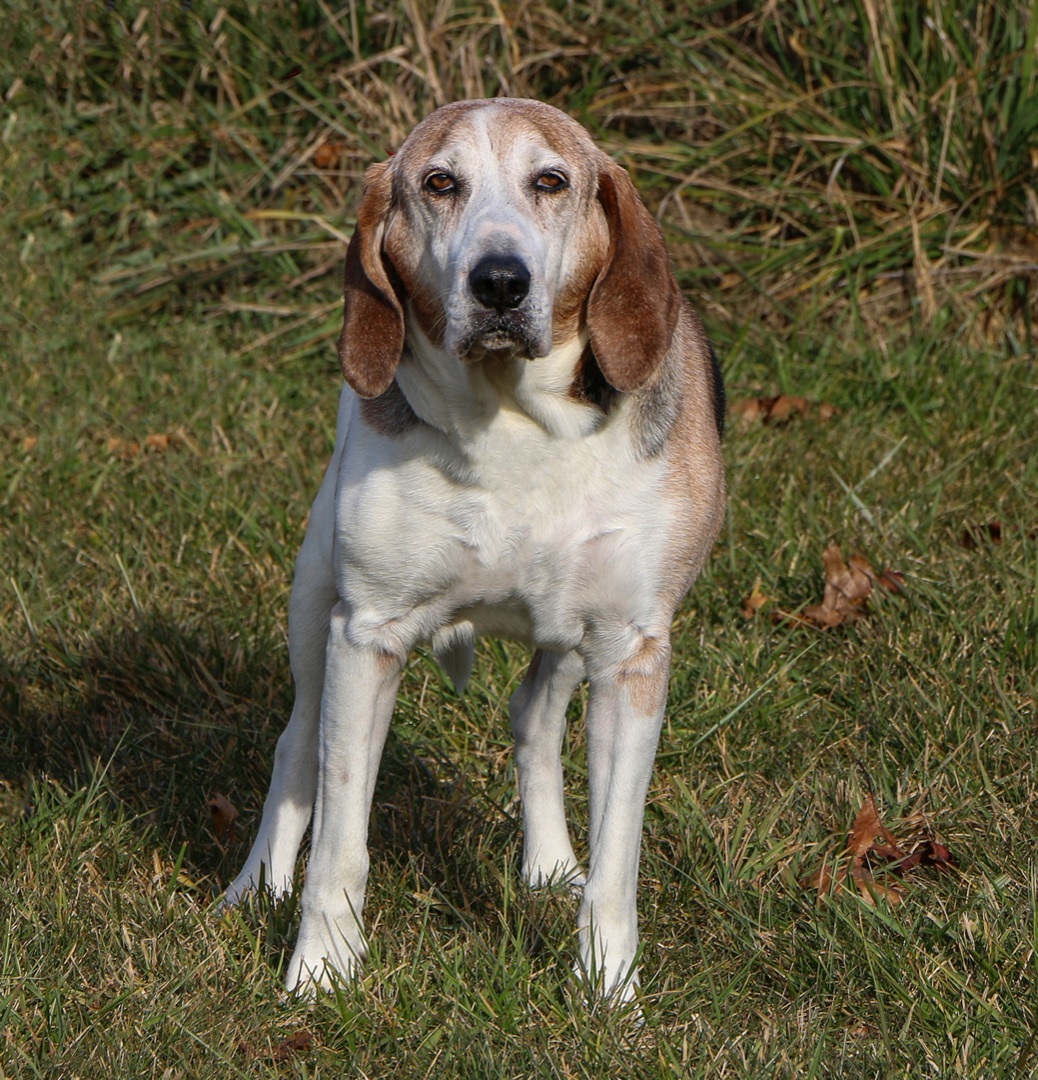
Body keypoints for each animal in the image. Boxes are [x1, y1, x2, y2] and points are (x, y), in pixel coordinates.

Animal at [224, 97, 730, 997]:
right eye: (439, 183)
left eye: (551, 181)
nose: (499, 281)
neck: (514, 424)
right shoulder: (367, 637)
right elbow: (340, 844)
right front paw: (322, 970)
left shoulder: (631, 653)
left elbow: (617, 860)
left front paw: (608, 992)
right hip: (316, 601)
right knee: (295, 750)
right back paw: (255, 889)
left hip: (568, 633)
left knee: (533, 715)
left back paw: (549, 866)